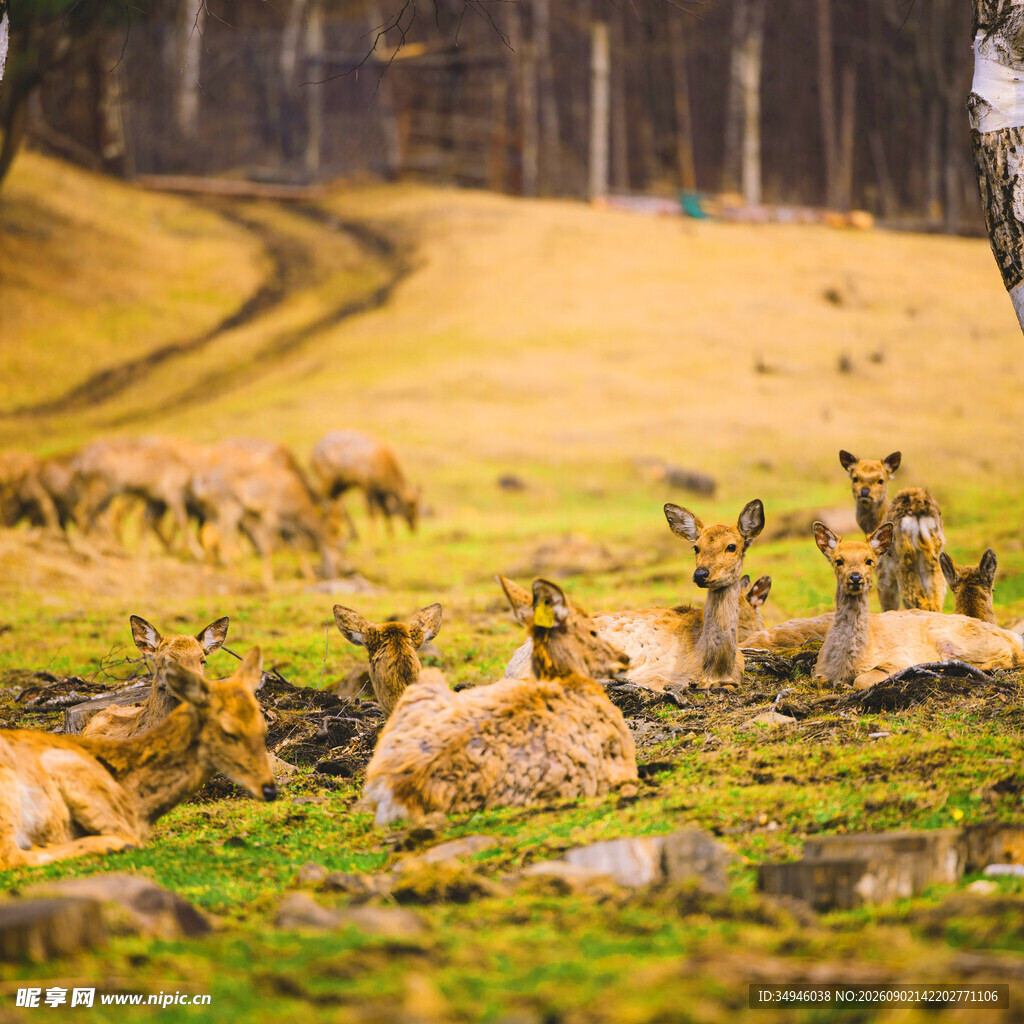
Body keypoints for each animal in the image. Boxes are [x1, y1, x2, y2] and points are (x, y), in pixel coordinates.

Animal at [812, 522, 1024, 689]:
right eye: (838, 561)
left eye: (869, 560)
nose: (856, 578)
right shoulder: (818, 671)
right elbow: (820, 680)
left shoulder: (898, 659)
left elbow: (861, 681)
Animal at [839, 450, 946, 612]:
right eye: (855, 478)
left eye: (880, 480)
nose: (864, 492)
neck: (873, 525)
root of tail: (918, 511)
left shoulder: (883, 571)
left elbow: (889, 605)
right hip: (933, 555)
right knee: (936, 598)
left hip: (902, 559)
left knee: (920, 600)